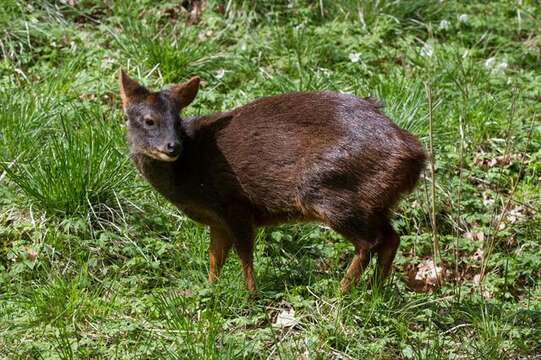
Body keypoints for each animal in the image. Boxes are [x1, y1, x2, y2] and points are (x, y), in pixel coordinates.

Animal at [118, 70, 426, 292]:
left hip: (331, 190)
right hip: (376, 200)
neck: (190, 175)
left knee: (369, 241)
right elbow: (214, 257)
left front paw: (251, 295)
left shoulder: (236, 204)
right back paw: (376, 291)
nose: (173, 147)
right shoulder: (217, 221)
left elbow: (245, 254)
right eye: (149, 120)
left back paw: (341, 293)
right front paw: (209, 290)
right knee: (390, 237)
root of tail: (414, 153)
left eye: (177, 120)